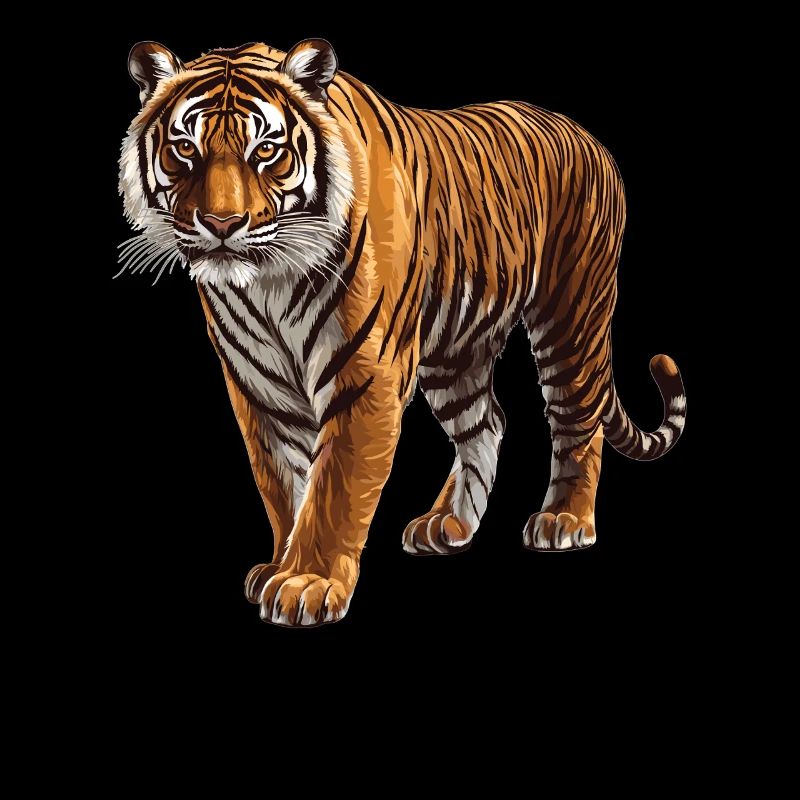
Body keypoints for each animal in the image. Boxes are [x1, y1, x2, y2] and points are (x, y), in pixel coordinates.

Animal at [119, 38, 686, 628]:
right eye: (184, 148)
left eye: (267, 150)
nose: (221, 224)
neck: (266, 284)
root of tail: (586, 134)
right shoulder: (257, 388)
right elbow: (282, 483)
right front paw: (278, 565)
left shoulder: (365, 378)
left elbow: (334, 487)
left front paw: (306, 582)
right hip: (457, 350)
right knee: (486, 422)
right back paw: (448, 525)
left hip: (570, 316)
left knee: (579, 419)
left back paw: (564, 520)